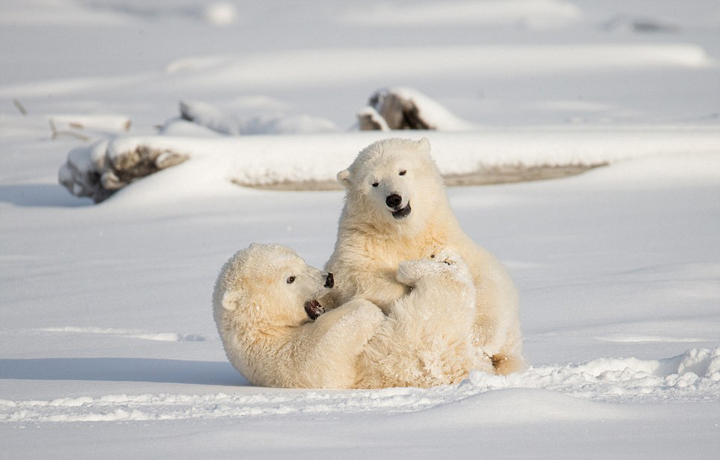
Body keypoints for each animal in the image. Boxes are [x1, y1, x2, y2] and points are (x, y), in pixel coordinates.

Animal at [211, 244, 486, 388]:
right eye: (290, 278)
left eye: (301, 262)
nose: (328, 278)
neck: (262, 329)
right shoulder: (289, 360)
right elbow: (335, 336)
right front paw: (371, 310)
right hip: (430, 328)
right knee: (450, 288)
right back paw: (427, 264)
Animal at [324, 136, 524, 374]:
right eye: (374, 183)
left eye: (402, 171)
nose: (394, 199)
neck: (405, 234)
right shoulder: (359, 245)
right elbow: (356, 277)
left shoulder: (447, 238)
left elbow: (489, 276)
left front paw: (479, 337)